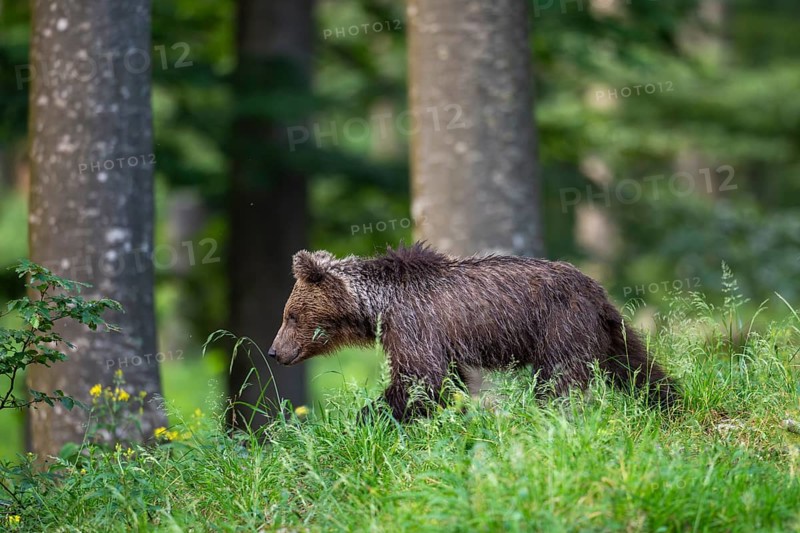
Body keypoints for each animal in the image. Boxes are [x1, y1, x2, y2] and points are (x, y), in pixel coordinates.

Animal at [268, 243, 678, 421]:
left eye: (290, 315)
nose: (274, 351)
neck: (377, 307)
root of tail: (596, 289)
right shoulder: (435, 338)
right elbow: (448, 381)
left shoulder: (413, 324)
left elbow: (419, 378)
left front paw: (368, 415)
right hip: (605, 330)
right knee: (636, 366)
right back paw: (670, 402)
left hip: (560, 324)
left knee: (558, 380)